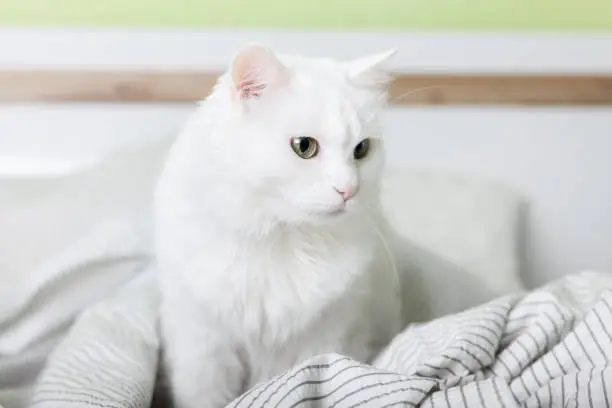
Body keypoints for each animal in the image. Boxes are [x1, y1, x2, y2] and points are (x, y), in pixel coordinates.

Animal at [154, 44, 402, 408]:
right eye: (304, 146)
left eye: (362, 149)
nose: (348, 190)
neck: (286, 241)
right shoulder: (203, 350)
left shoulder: (326, 340)